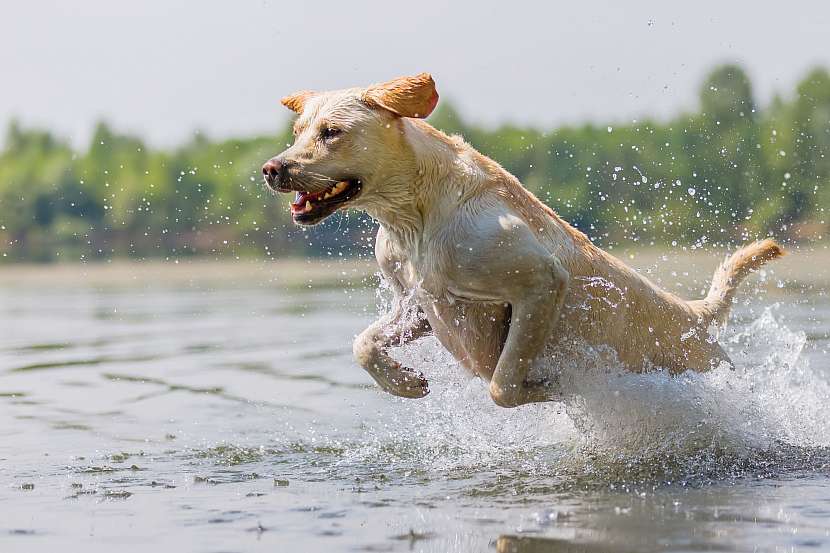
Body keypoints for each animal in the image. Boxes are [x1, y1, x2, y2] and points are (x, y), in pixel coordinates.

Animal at [262, 73, 788, 406]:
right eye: (298, 131)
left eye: (332, 132)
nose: (271, 168)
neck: (415, 212)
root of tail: (695, 314)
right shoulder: (419, 304)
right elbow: (364, 344)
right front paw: (405, 383)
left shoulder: (539, 283)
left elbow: (502, 385)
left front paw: (557, 388)